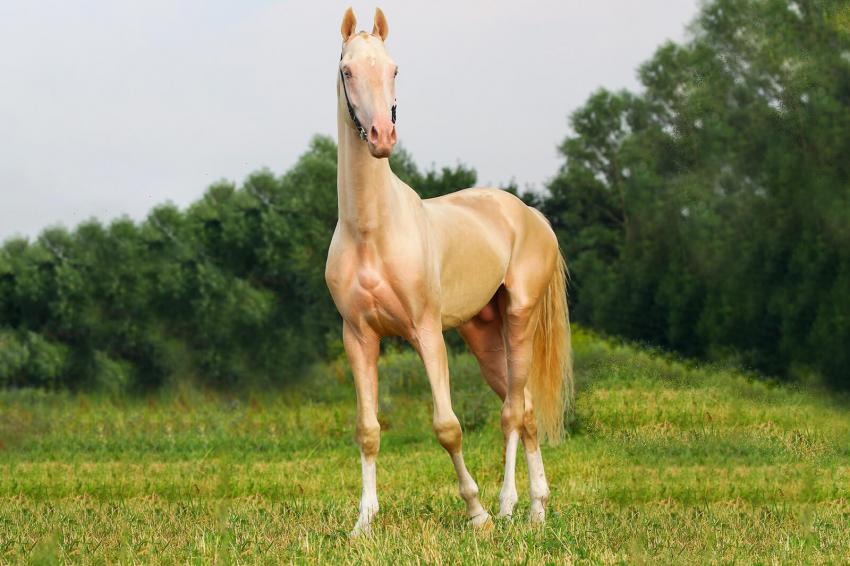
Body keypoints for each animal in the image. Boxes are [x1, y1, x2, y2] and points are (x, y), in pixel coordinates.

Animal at [325, 7, 573, 536]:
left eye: (395, 69)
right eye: (347, 71)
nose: (382, 136)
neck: (372, 232)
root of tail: (528, 214)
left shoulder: (426, 332)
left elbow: (447, 426)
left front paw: (476, 513)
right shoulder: (359, 336)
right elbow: (368, 430)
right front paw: (363, 523)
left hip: (518, 320)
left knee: (515, 412)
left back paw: (516, 508)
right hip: (483, 338)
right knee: (523, 410)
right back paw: (526, 508)